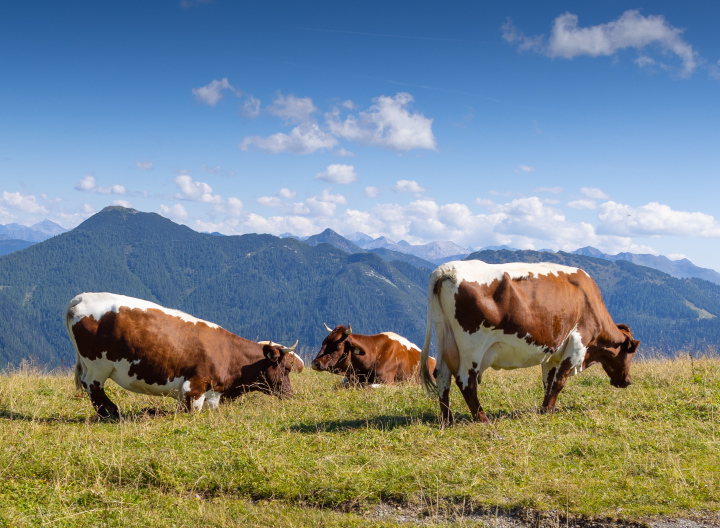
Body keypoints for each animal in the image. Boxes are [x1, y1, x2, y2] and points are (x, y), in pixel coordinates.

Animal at [66, 292, 302, 419]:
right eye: (287, 368)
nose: (291, 395)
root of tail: (81, 298)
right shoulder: (193, 387)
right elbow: (187, 411)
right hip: (97, 365)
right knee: (93, 387)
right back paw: (110, 413)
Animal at [419, 260, 640, 425]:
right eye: (630, 353)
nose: (628, 381)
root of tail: (447, 269)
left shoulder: (553, 352)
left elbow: (548, 381)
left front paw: (545, 409)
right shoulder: (577, 344)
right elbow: (559, 381)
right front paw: (549, 410)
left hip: (445, 337)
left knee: (442, 376)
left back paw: (447, 420)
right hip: (471, 346)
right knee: (466, 381)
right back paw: (482, 418)